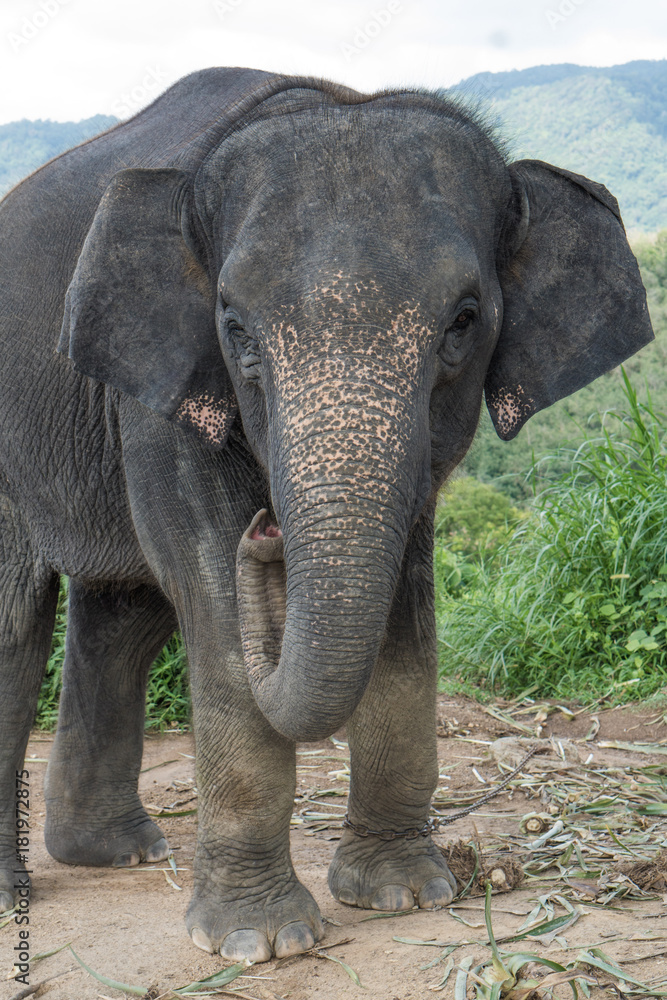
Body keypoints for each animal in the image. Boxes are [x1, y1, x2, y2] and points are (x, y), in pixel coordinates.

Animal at [0, 66, 653, 962]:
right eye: (235, 327)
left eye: (462, 321)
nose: (268, 530)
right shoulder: (163, 387)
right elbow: (207, 583)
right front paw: (258, 943)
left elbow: (403, 611)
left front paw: (403, 895)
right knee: (20, 624)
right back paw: (23, 892)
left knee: (121, 618)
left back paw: (114, 853)